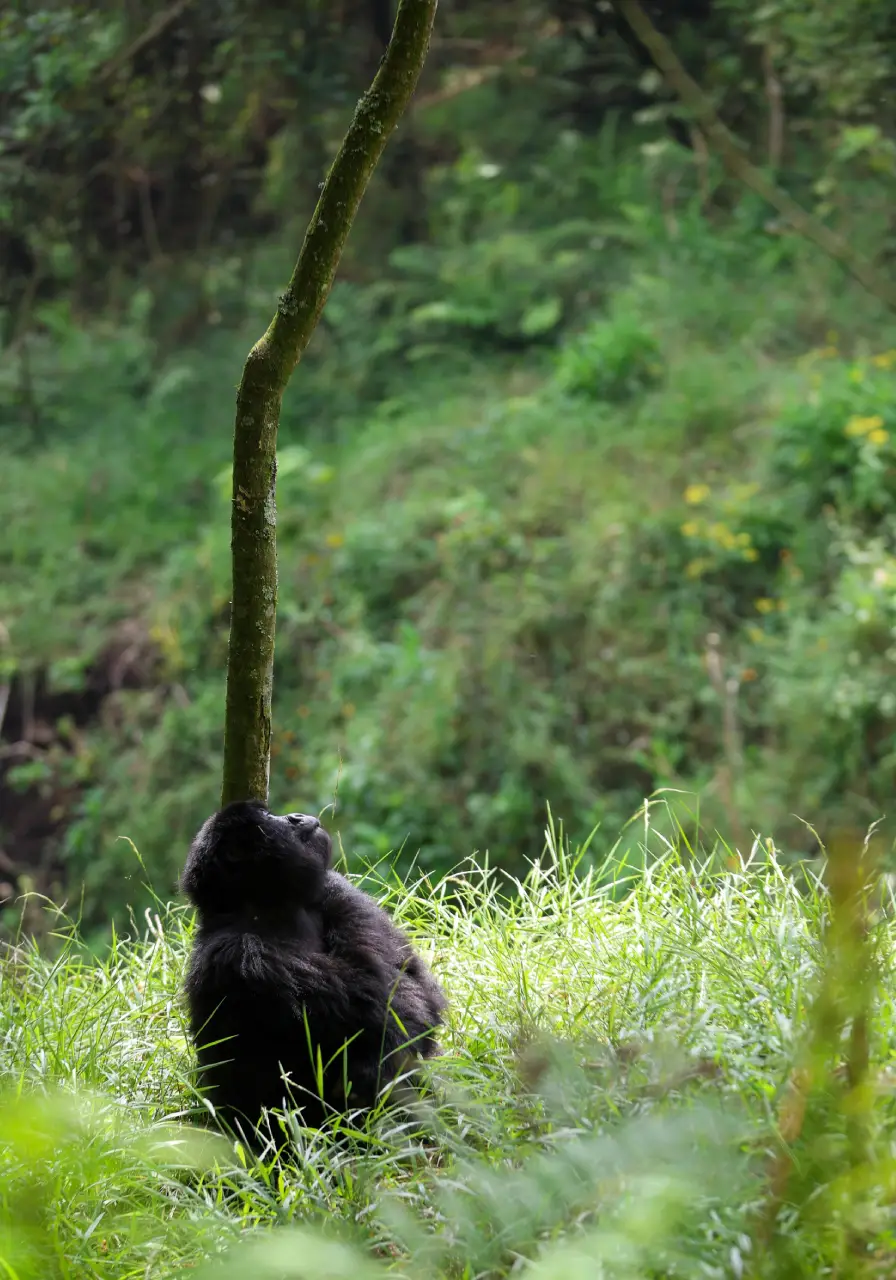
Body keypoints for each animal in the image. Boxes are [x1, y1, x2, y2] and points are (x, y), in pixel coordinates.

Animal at [180, 800, 447, 1139]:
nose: (295, 816)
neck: (262, 906)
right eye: (268, 817)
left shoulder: (335, 886)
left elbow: (410, 986)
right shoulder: (238, 952)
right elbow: (378, 998)